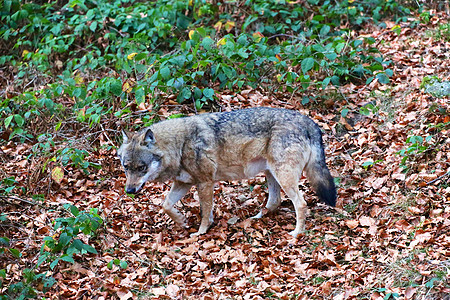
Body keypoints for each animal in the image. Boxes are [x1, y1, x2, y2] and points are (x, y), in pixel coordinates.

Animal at [118, 106, 336, 238]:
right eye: (126, 167)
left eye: (142, 167)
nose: (129, 191)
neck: (179, 146)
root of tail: (309, 122)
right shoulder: (184, 183)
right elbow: (166, 206)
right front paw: (181, 221)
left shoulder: (205, 182)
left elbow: (205, 212)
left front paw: (200, 232)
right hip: (271, 174)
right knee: (275, 201)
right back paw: (254, 218)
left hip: (283, 176)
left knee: (301, 204)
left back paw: (296, 234)